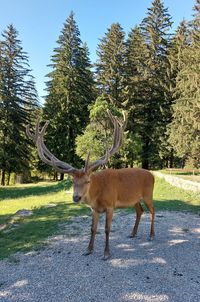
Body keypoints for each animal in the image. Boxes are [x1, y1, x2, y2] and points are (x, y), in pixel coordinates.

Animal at [26, 111, 155, 260]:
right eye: (73, 181)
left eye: (87, 181)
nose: (76, 197)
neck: (97, 195)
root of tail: (152, 175)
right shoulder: (94, 209)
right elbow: (92, 229)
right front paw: (88, 249)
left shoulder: (111, 205)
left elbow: (107, 229)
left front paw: (106, 253)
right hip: (135, 199)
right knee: (140, 211)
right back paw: (133, 233)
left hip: (148, 194)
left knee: (152, 211)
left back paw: (151, 235)